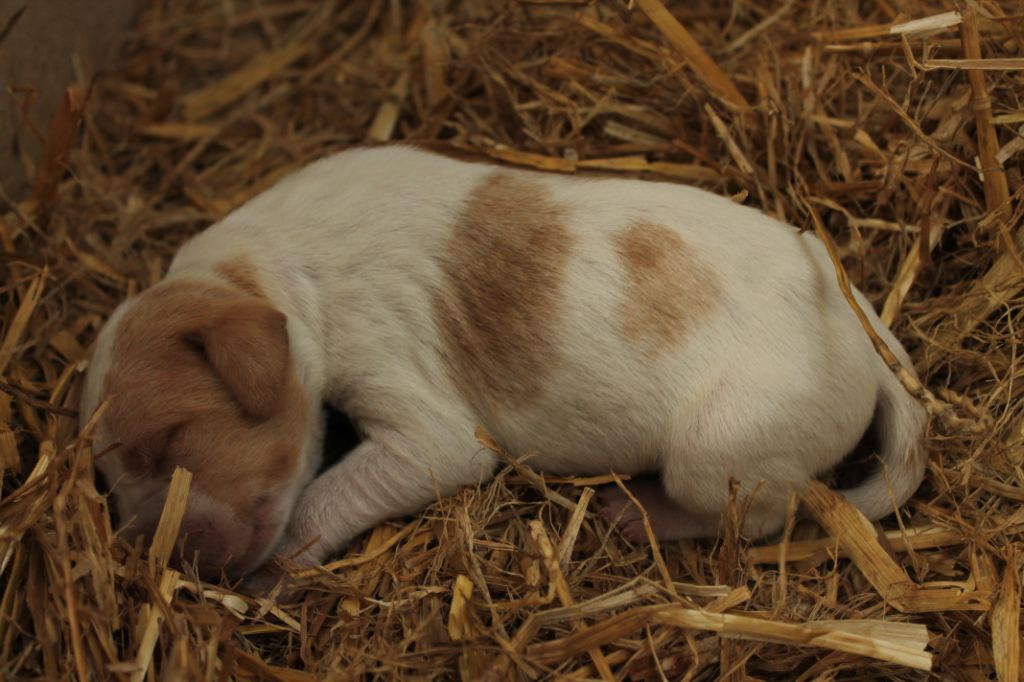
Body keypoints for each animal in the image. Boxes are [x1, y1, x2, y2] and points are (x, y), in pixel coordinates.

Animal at [79, 143, 929, 577]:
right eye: (109, 483)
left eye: (174, 439)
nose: (181, 563)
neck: (268, 273)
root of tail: (865, 346)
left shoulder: (428, 426)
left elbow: (331, 495)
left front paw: (278, 571)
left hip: (717, 447)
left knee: (757, 518)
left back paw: (633, 514)